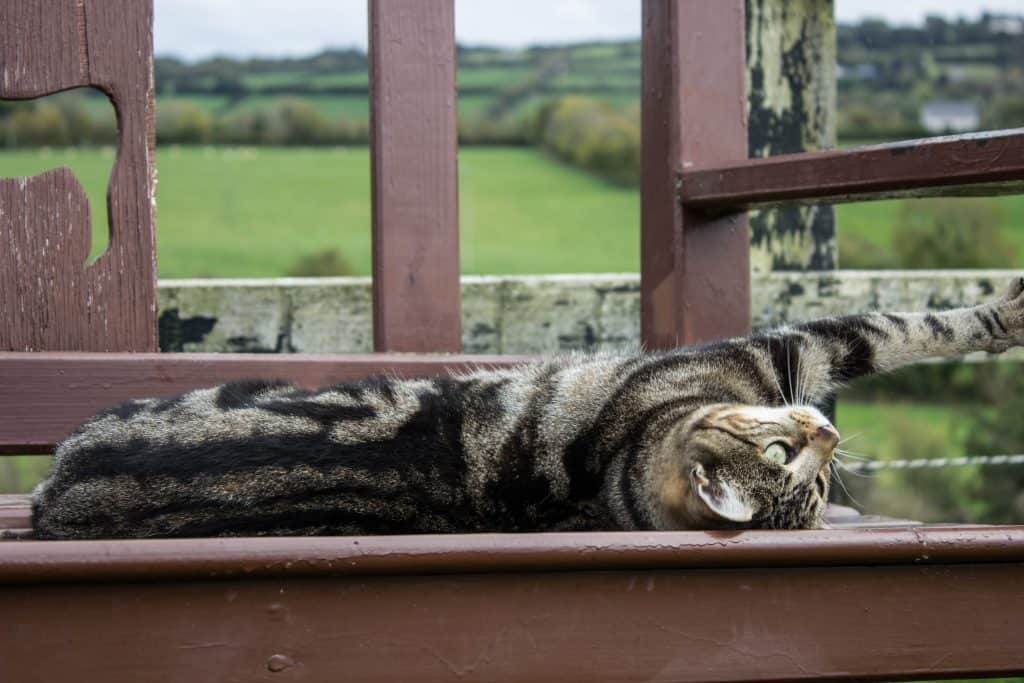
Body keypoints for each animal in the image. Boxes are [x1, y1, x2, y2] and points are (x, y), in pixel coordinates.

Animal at [32, 278, 1024, 540]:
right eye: (788, 457)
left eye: (815, 483)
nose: (827, 428)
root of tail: (50, 499)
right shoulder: (785, 351)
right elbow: (901, 326)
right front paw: (1007, 310)